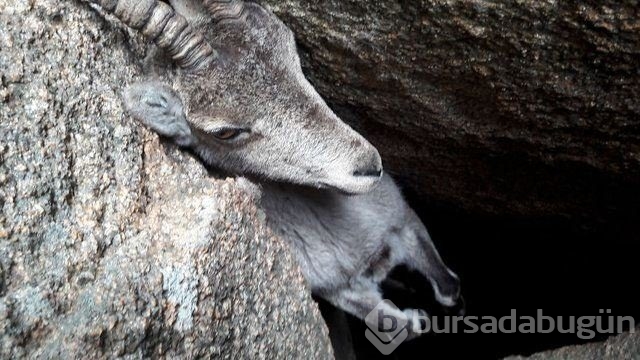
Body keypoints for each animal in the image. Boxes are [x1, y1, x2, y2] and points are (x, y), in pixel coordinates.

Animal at [89, 0, 460, 338]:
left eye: (291, 49)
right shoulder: (339, 289)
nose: (367, 167)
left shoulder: (402, 218)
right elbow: (396, 323)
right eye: (226, 132)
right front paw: (416, 317)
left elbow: (448, 286)